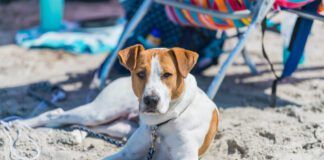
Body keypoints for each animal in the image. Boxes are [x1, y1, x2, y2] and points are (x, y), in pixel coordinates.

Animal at [16, 44, 219, 160]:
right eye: (141, 74)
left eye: (167, 74)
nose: (151, 100)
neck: (161, 125)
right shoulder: (126, 153)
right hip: (100, 112)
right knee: (55, 114)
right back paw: (18, 123)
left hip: (119, 126)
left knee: (78, 124)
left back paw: (73, 134)